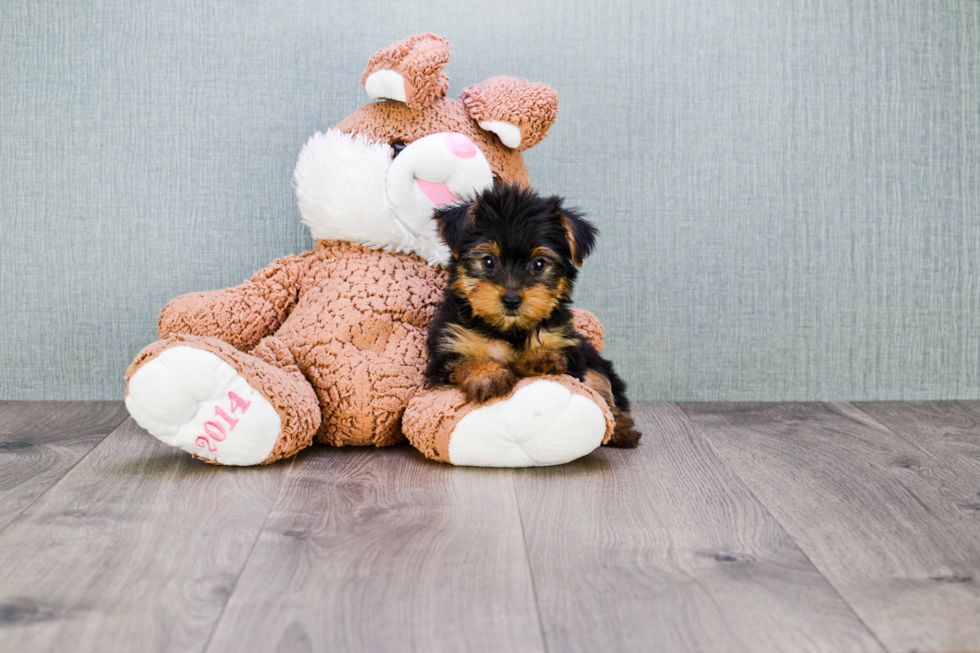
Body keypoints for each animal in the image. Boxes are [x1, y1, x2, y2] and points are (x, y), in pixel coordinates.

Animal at [424, 186, 640, 446]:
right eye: (489, 261)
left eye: (539, 264)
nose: (511, 299)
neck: (508, 329)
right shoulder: (447, 349)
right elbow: (464, 361)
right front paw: (488, 375)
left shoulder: (568, 348)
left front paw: (540, 359)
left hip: (594, 360)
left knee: (603, 388)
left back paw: (622, 428)